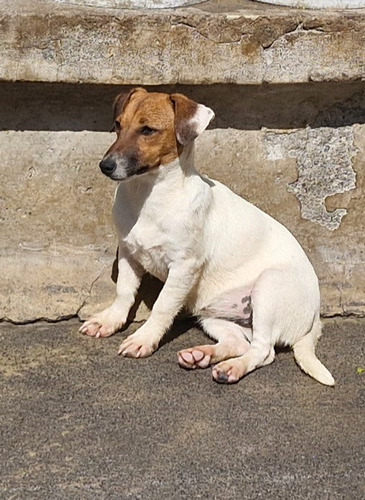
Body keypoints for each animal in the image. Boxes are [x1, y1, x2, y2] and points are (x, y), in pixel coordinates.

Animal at [79, 87, 332, 386]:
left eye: (148, 130)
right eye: (118, 125)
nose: (105, 166)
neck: (150, 196)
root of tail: (315, 315)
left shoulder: (184, 267)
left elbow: (162, 306)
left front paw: (144, 338)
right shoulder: (129, 253)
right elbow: (124, 292)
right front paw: (109, 321)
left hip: (268, 289)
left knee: (263, 350)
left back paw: (232, 368)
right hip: (215, 316)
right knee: (240, 343)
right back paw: (201, 355)